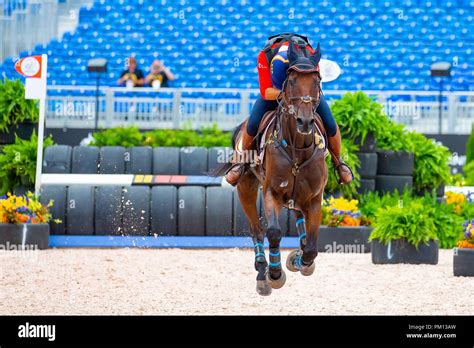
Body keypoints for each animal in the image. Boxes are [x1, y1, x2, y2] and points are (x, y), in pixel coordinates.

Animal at [215, 41, 326, 296]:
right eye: (291, 80)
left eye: (317, 81)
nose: (305, 122)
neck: (297, 148)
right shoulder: (271, 192)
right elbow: (273, 232)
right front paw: (274, 275)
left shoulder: (314, 197)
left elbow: (312, 248)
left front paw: (301, 261)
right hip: (246, 187)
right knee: (257, 229)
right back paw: (261, 273)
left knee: (299, 218)